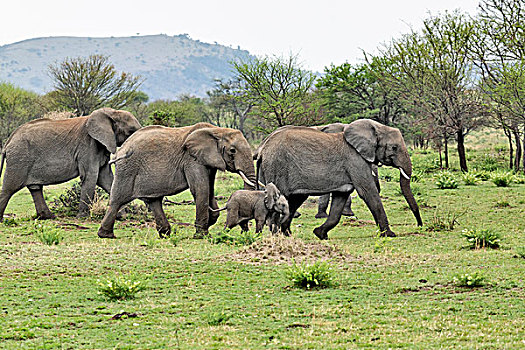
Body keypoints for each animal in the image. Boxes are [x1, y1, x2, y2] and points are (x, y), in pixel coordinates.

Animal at [0, 108, 141, 220]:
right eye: (131, 131)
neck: (111, 112)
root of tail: (8, 141)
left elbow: (106, 178)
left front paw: (121, 216)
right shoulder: (88, 146)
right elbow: (91, 176)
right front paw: (82, 218)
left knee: (35, 188)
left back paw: (49, 217)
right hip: (19, 158)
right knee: (9, 188)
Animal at [97, 121, 256, 239]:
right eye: (232, 151)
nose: (245, 231)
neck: (217, 130)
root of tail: (121, 149)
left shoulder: (208, 161)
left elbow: (209, 189)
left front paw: (210, 222)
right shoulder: (191, 159)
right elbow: (201, 189)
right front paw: (202, 236)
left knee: (154, 201)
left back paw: (165, 234)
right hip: (127, 170)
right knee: (118, 200)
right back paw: (106, 235)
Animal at [256, 119, 424, 239]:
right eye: (394, 148)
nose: (419, 225)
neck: (377, 127)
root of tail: (262, 150)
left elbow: (340, 199)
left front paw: (320, 234)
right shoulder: (355, 160)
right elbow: (368, 192)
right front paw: (389, 235)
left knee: (295, 200)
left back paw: (287, 234)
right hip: (277, 167)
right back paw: (276, 235)